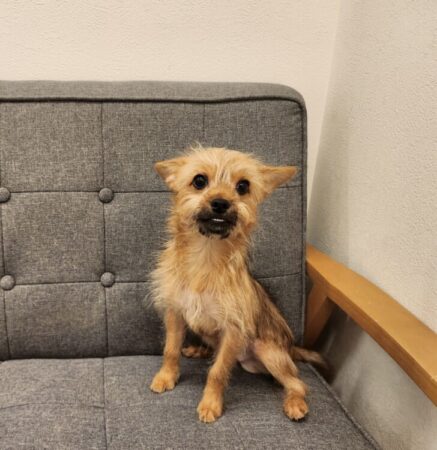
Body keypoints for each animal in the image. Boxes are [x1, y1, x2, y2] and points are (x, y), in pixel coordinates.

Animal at [149, 146, 324, 423]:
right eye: (199, 181)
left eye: (243, 186)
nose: (221, 203)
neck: (206, 256)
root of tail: (291, 349)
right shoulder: (175, 313)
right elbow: (170, 350)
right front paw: (166, 377)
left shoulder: (233, 330)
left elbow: (218, 372)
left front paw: (211, 403)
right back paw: (199, 350)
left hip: (266, 349)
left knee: (298, 383)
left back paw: (295, 403)